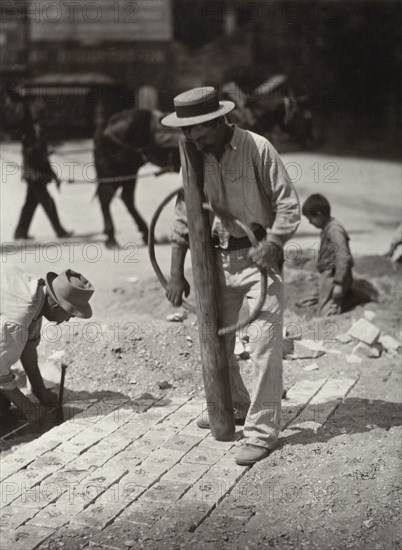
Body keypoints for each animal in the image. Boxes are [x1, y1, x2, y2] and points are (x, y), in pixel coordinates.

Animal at [93, 109, 180, 250]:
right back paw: (111, 238)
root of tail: (108, 124)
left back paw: (144, 233)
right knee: (106, 197)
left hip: (129, 171)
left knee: (125, 198)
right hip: (117, 172)